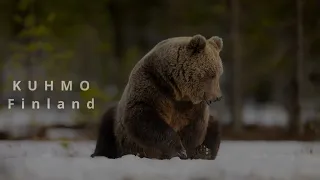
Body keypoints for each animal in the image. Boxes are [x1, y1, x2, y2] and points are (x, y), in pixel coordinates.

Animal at [91, 34, 224, 160]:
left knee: (215, 124)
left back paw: (205, 152)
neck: (176, 90)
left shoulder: (192, 106)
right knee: (106, 127)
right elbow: (144, 120)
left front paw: (193, 151)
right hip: (116, 125)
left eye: (219, 74)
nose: (218, 97)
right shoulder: (152, 87)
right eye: (211, 74)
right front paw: (179, 150)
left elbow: (195, 127)